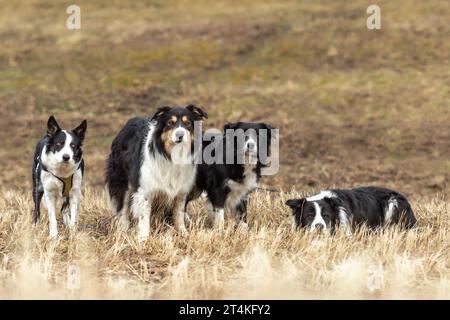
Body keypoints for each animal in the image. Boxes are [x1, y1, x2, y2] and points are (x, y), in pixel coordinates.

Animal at [106, 104, 208, 241]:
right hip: (122, 180)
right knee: (123, 205)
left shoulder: (182, 189)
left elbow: (179, 212)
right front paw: (143, 238)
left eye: (188, 123)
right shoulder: (145, 189)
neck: (171, 155)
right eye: (170, 123)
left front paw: (183, 233)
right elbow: (144, 216)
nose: (180, 135)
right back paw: (123, 228)